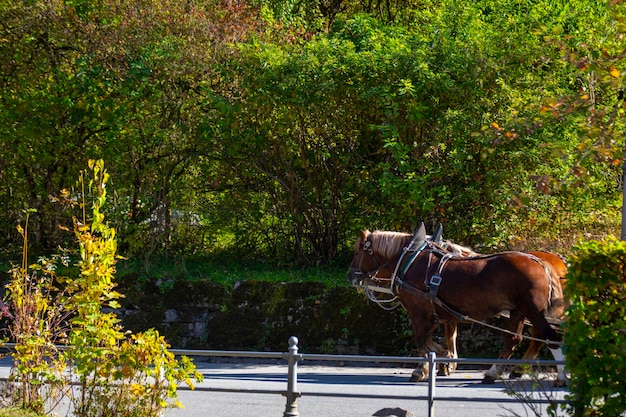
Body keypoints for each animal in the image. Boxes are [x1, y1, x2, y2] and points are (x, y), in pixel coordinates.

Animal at [346, 224, 564, 384]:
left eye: (357, 252)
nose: (351, 276)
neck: (411, 259)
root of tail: (541, 263)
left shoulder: (419, 312)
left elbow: (421, 340)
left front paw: (428, 366)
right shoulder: (438, 314)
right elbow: (437, 338)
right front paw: (443, 359)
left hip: (533, 310)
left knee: (549, 337)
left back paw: (559, 377)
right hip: (518, 311)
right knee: (514, 340)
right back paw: (494, 372)